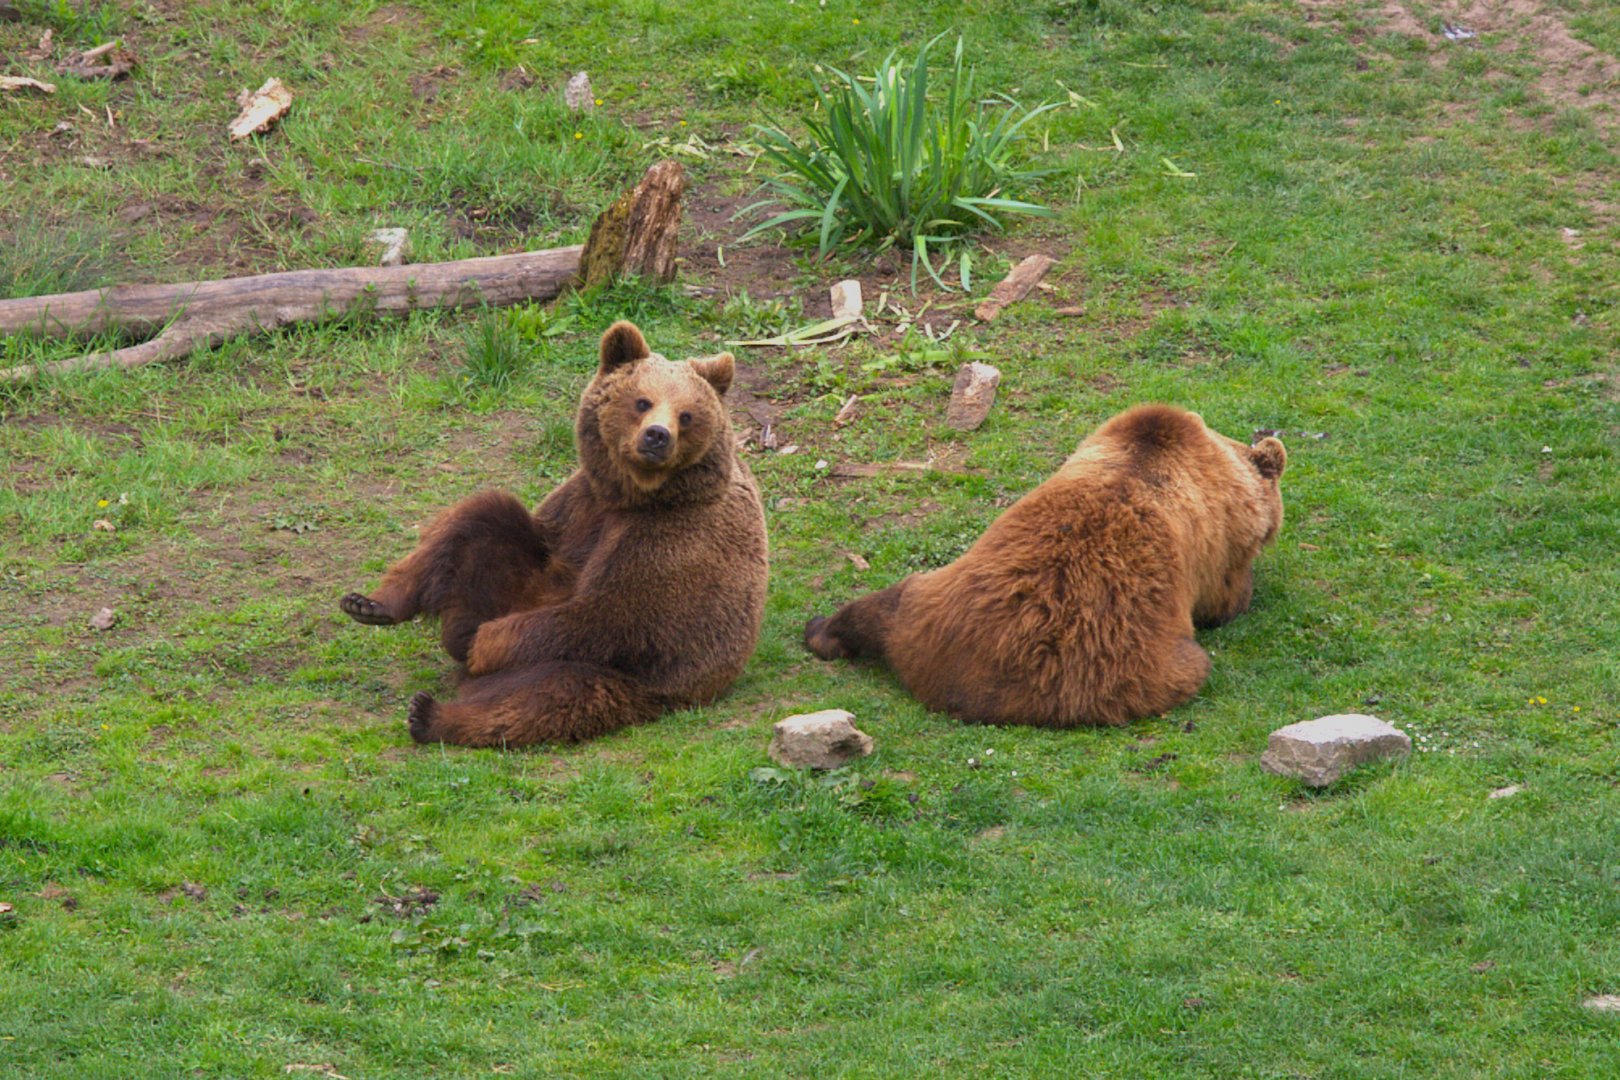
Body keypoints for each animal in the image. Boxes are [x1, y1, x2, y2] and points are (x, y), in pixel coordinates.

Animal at [340, 320, 769, 747]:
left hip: (637, 683)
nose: (657, 436)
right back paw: (376, 607)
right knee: (481, 519)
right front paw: (375, 604)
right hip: (513, 588)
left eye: (687, 415)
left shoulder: (669, 543)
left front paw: (485, 643)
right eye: (643, 401)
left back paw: (433, 709)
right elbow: (522, 532)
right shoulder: (581, 503)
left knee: (551, 692)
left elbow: (607, 616)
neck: (636, 495)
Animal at [803, 405, 1286, 727]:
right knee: (1192, 666)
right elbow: (1226, 593)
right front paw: (1244, 594)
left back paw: (822, 630)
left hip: (931, 601)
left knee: (880, 604)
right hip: (1136, 665)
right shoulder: (1218, 546)